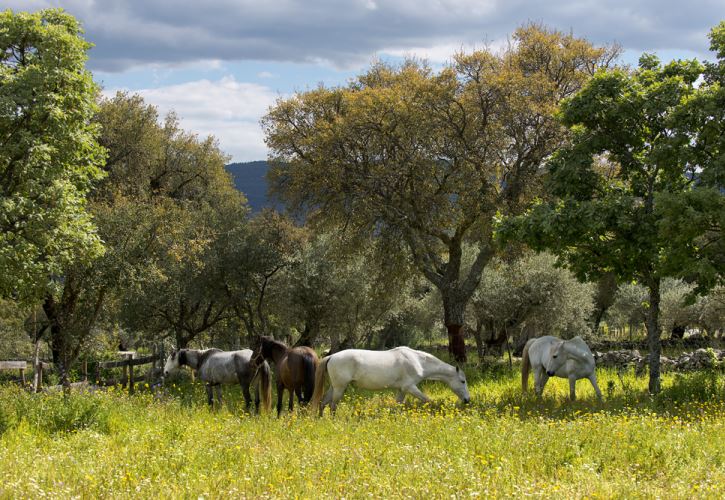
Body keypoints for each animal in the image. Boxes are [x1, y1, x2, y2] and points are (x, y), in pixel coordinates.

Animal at [310, 346, 471, 416]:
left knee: (323, 403)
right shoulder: (410, 387)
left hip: (334, 387)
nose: (467, 400)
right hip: (339, 388)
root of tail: (332, 356)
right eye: (462, 381)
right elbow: (427, 400)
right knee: (332, 406)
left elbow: (397, 405)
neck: (417, 361)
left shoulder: (402, 390)